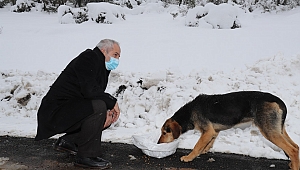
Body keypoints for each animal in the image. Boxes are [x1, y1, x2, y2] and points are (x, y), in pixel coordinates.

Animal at [158, 91, 298, 169]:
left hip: (269, 131)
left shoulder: (207, 131)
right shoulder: (213, 131)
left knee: (292, 149)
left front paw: (188, 157)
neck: (189, 113)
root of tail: (279, 101)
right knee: (295, 147)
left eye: (165, 132)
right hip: (278, 129)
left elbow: (197, 146)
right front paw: (205, 150)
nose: (158, 143)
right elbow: (208, 143)